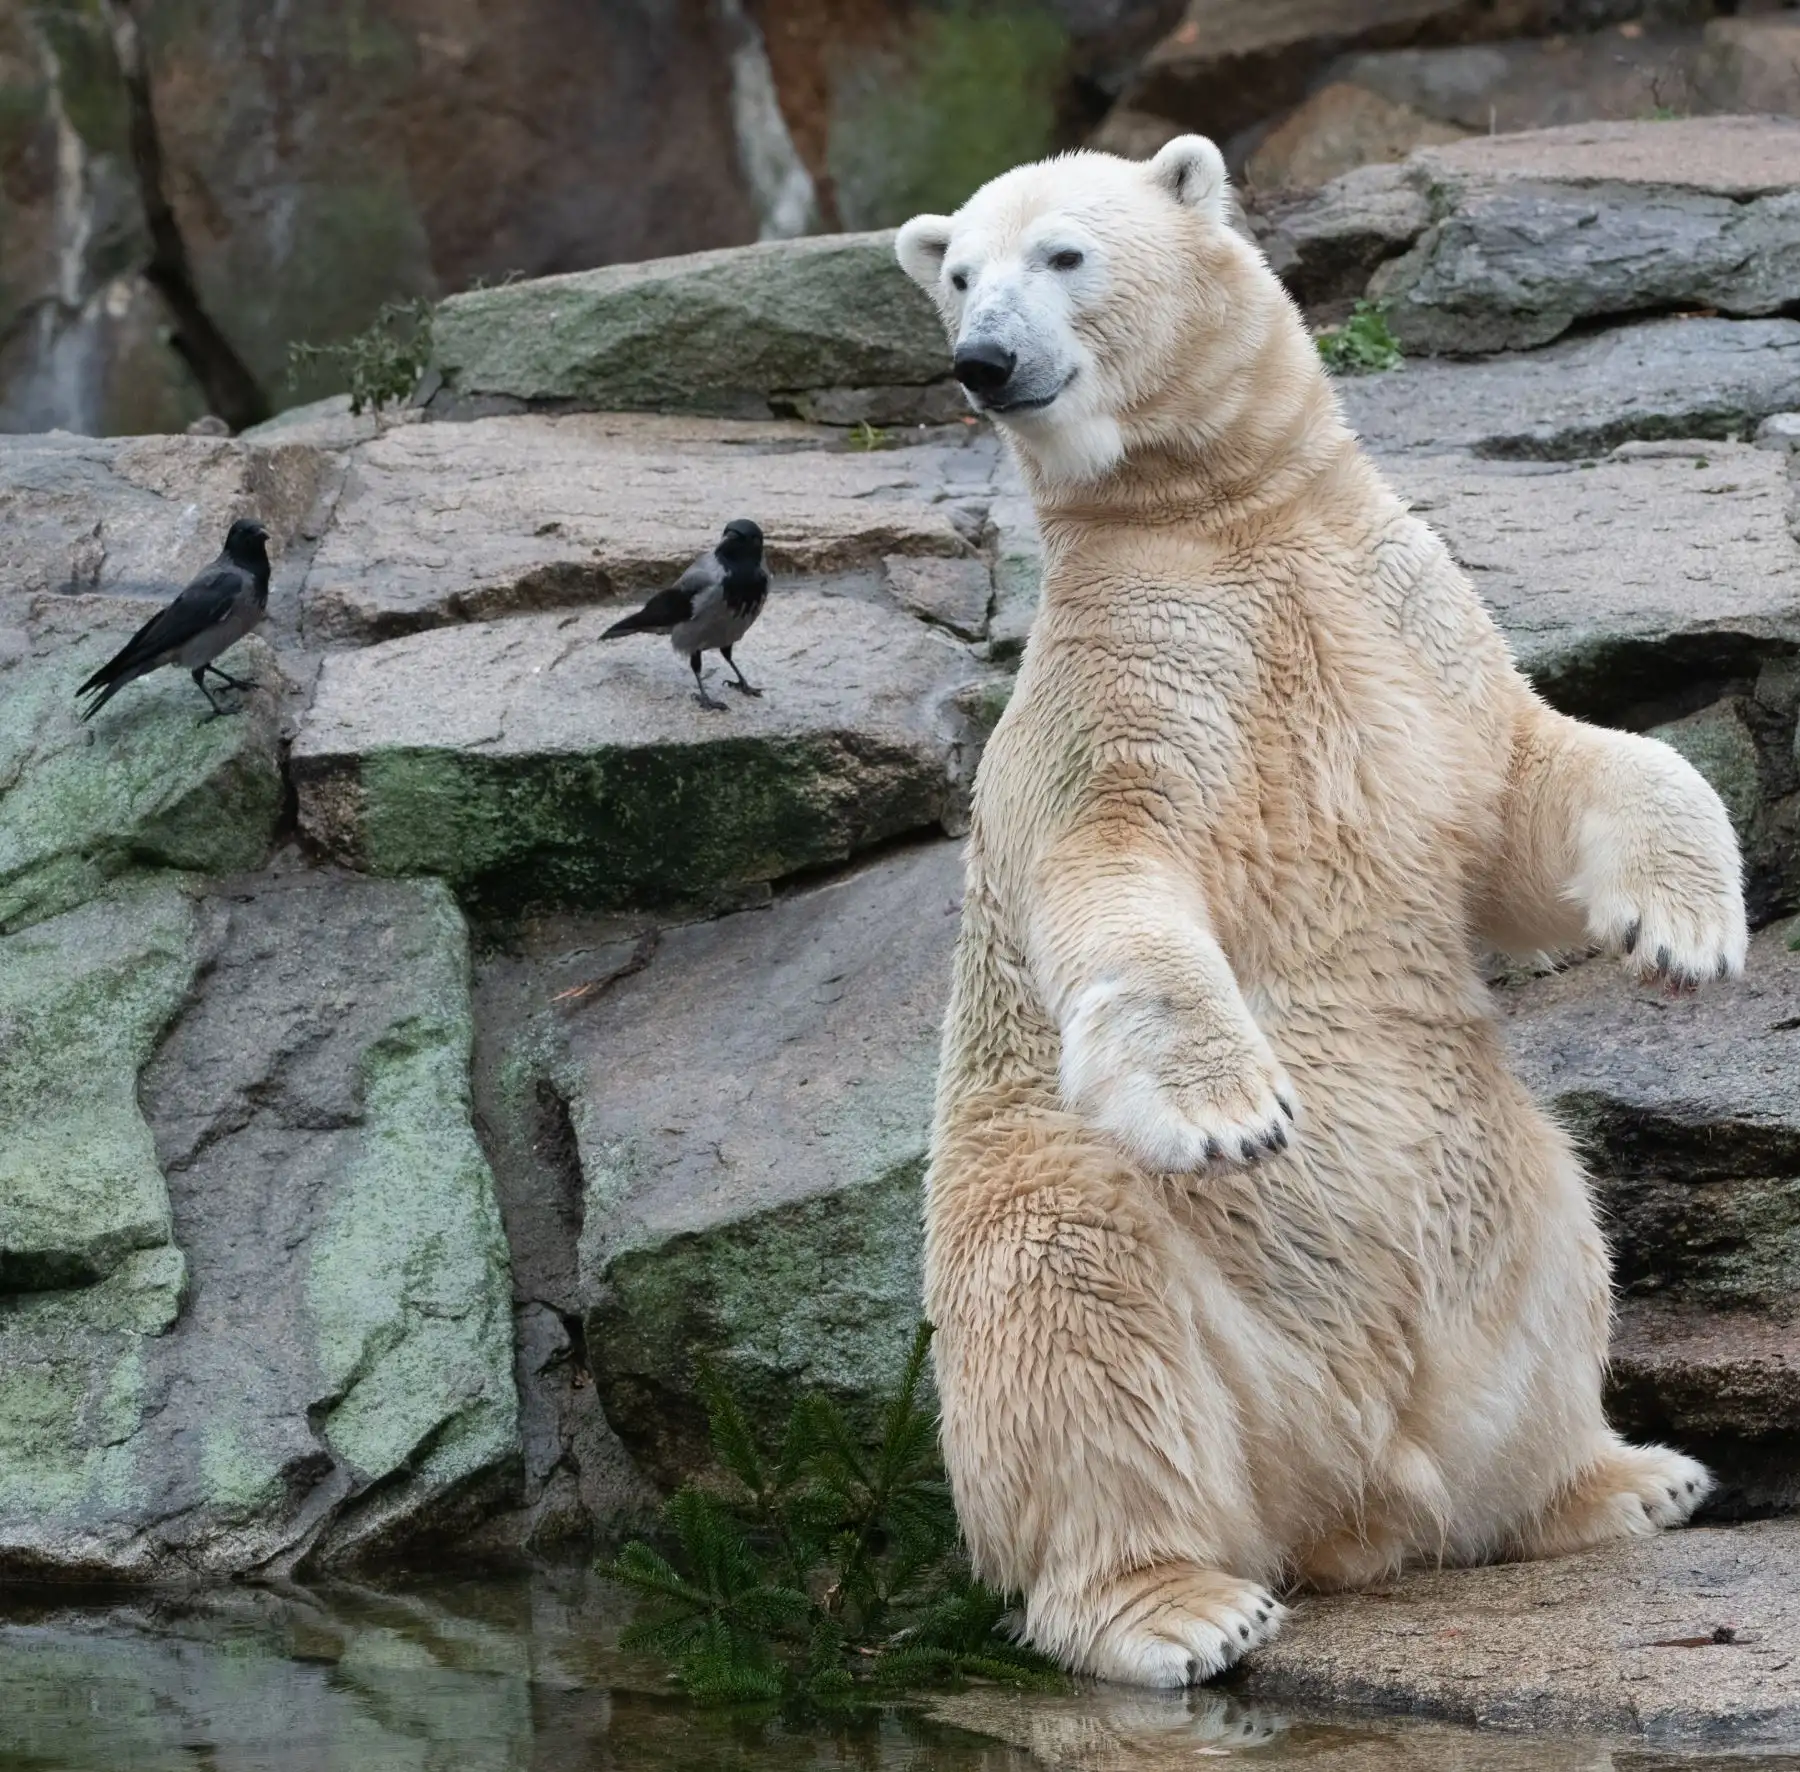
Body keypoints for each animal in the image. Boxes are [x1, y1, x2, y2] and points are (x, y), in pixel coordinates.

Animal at [893, 135, 1748, 1689]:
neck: (1222, 522)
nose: (984, 360)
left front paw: (1687, 929)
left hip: (1499, 1196)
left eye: (1063, 254)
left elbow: (1530, 787)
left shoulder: (1396, 620)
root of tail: (1349, 1494)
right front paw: (1234, 1111)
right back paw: (1177, 1603)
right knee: (1077, 1324)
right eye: (959, 277)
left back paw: (1621, 1477)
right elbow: (1118, 881)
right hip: (1071, 1228)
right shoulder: (1132, 692)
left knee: (1561, 1255)